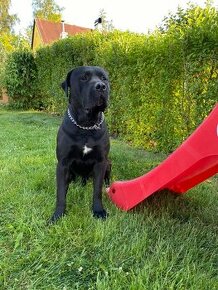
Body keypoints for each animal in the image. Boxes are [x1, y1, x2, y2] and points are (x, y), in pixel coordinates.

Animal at [49, 65, 110, 222]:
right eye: (84, 78)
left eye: (104, 78)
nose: (101, 86)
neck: (86, 125)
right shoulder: (63, 163)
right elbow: (61, 193)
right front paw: (58, 215)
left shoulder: (101, 162)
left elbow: (97, 191)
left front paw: (98, 211)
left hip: (108, 163)